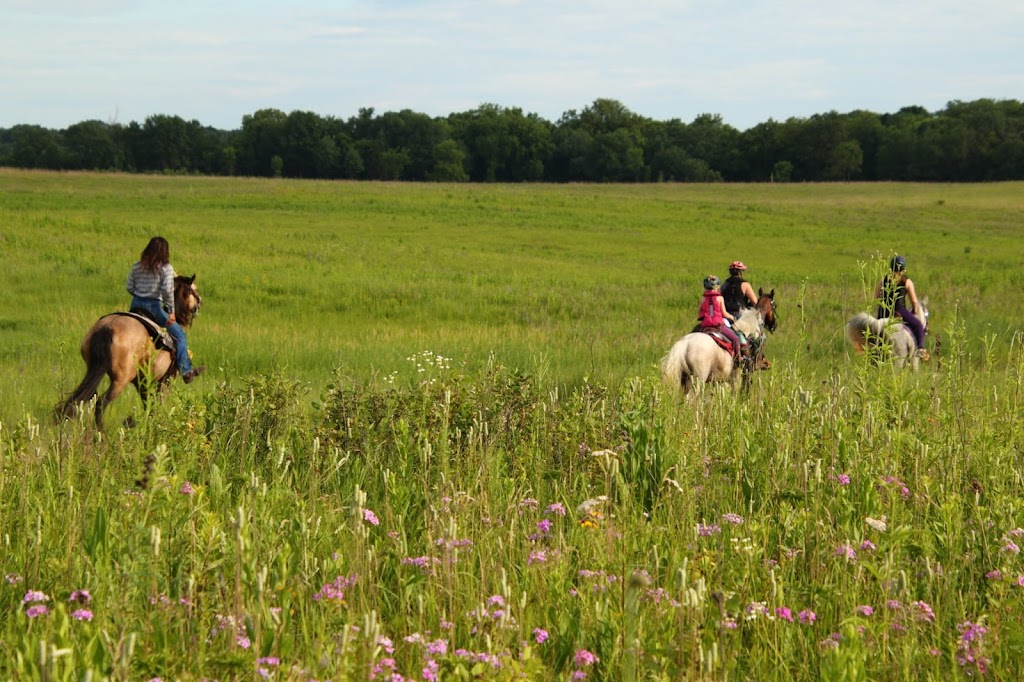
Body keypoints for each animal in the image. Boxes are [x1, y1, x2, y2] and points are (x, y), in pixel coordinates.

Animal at [58, 272, 203, 425]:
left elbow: (148, 405)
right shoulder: (166, 380)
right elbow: (156, 405)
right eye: (194, 290)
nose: (200, 302)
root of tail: (107, 327)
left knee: (83, 399)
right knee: (101, 403)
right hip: (121, 379)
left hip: (93, 371)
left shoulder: (142, 382)